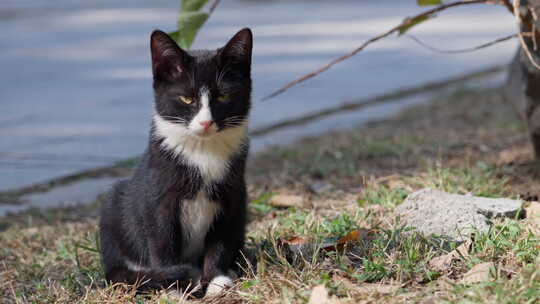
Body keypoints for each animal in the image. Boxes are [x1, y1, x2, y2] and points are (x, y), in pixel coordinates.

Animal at [99, 27, 253, 298]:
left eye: (224, 95)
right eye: (186, 99)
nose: (205, 122)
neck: (202, 151)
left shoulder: (232, 193)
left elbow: (220, 240)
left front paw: (217, 280)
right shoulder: (158, 197)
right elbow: (162, 240)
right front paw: (173, 288)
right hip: (112, 212)